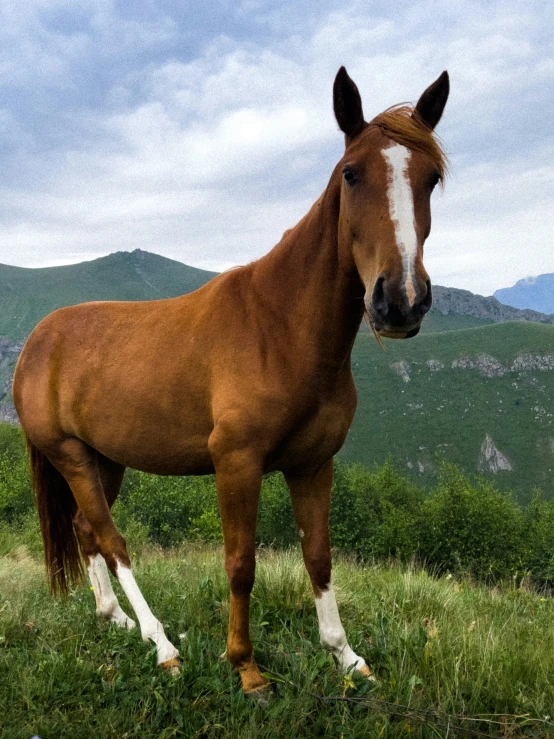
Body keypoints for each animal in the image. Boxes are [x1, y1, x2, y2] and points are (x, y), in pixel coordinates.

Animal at [11, 66, 448, 696]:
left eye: (431, 178)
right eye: (351, 173)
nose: (401, 301)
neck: (282, 328)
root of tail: (37, 342)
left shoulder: (314, 463)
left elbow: (319, 557)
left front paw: (345, 657)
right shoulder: (236, 462)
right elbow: (241, 563)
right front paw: (246, 666)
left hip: (104, 459)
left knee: (84, 530)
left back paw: (118, 620)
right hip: (69, 455)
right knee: (112, 539)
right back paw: (162, 644)